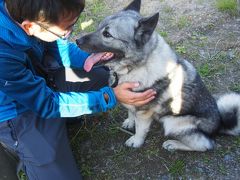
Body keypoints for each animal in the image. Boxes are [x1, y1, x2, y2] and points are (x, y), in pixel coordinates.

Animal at [77, 0, 240, 152]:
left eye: (107, 34)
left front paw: (136, 141)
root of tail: (218, 126)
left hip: (173, 122)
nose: (77, 41)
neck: (136, 65)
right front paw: (130, 121)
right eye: (99, 27)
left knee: (205, 145)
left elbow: (140, 129)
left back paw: (173, 144)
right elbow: (130, 111)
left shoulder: (143, 112)